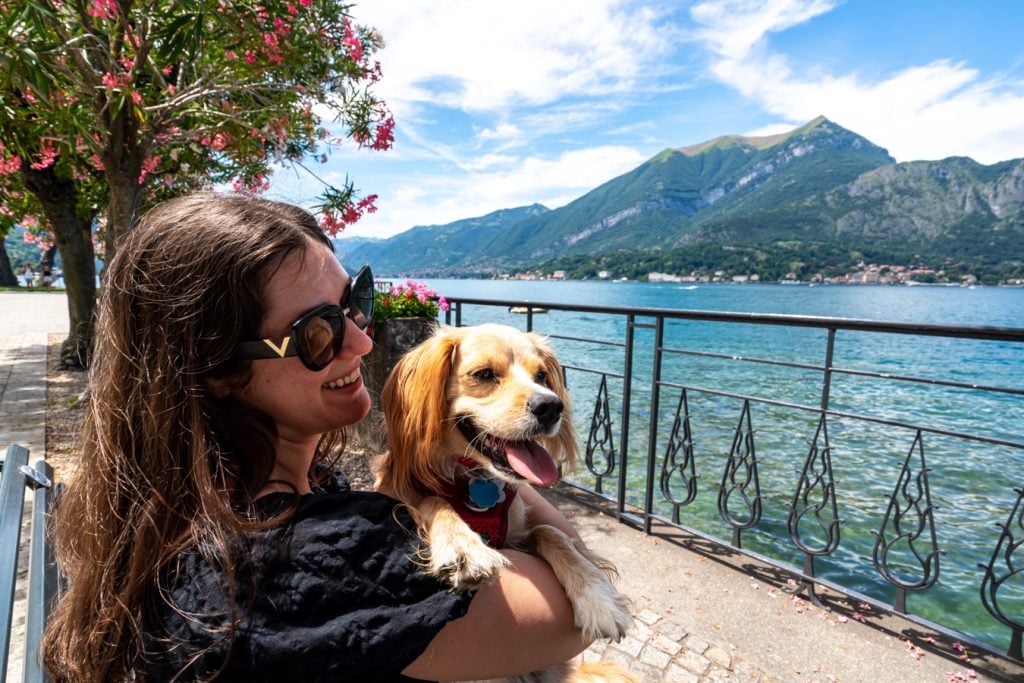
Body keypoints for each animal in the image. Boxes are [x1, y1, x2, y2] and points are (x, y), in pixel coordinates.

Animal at [376, 323, 630, 679]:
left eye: (541, 375)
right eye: (484, 374)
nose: (552, 406)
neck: (474, 479)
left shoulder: (519, 533)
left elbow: (551, 532)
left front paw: (597, 596)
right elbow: (433, 503)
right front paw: (462, 547)